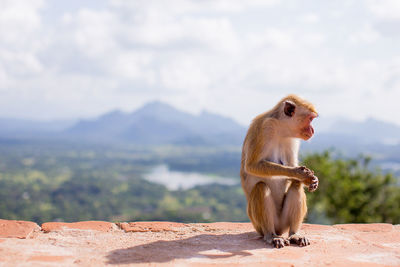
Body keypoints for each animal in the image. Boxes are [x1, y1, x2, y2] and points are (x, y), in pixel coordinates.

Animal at [241, 94, 318, 249]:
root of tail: (279, 229)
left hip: (283, 222)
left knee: (296, 186)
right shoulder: (265, 128)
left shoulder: (292, 139)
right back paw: (271, 236)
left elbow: (292, 166)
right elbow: (252, 165)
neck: (281, 129)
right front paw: (299, 173)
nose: (313, 130)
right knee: (261, 188)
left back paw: (294, 234)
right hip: (258, 225)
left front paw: (311, 180)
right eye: (310, 119)